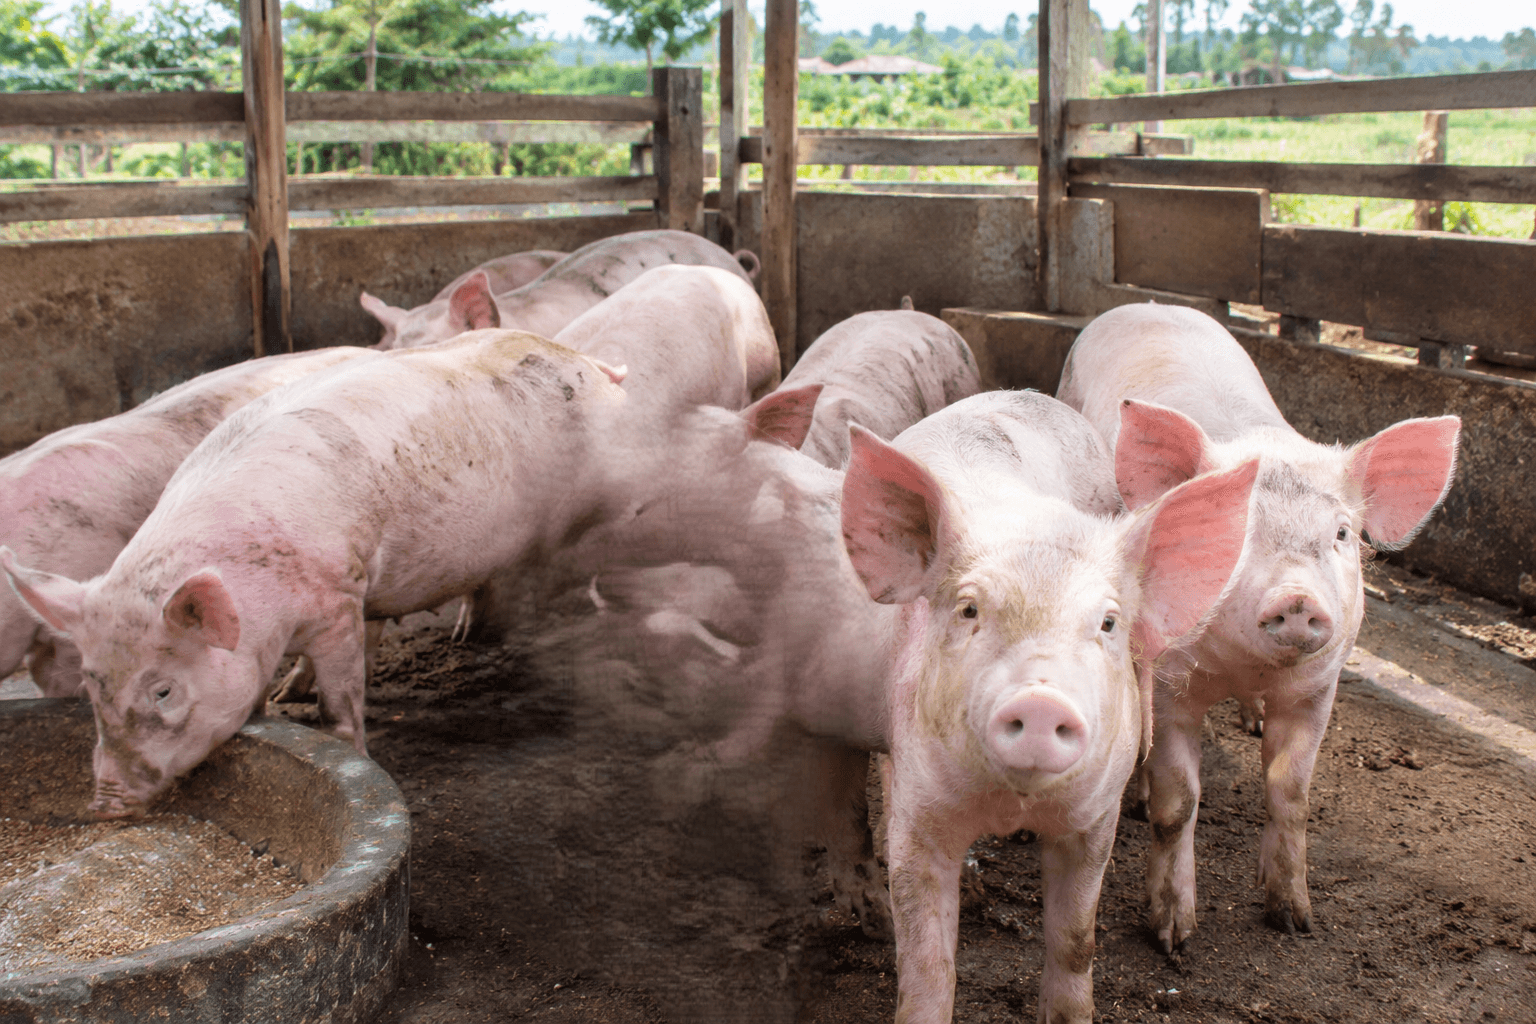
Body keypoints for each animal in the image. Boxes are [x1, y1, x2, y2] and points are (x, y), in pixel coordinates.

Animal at [1055, 302, 1461, 951]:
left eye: (1342, 532)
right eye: (1232, 532)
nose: (1296, 598)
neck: (1247, 670)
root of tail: (1143, 304)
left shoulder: (1319, 687)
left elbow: (1291, 792)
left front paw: (1295, 918)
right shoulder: (1172, 686)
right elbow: (1178, 803)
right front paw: (1172, 936)